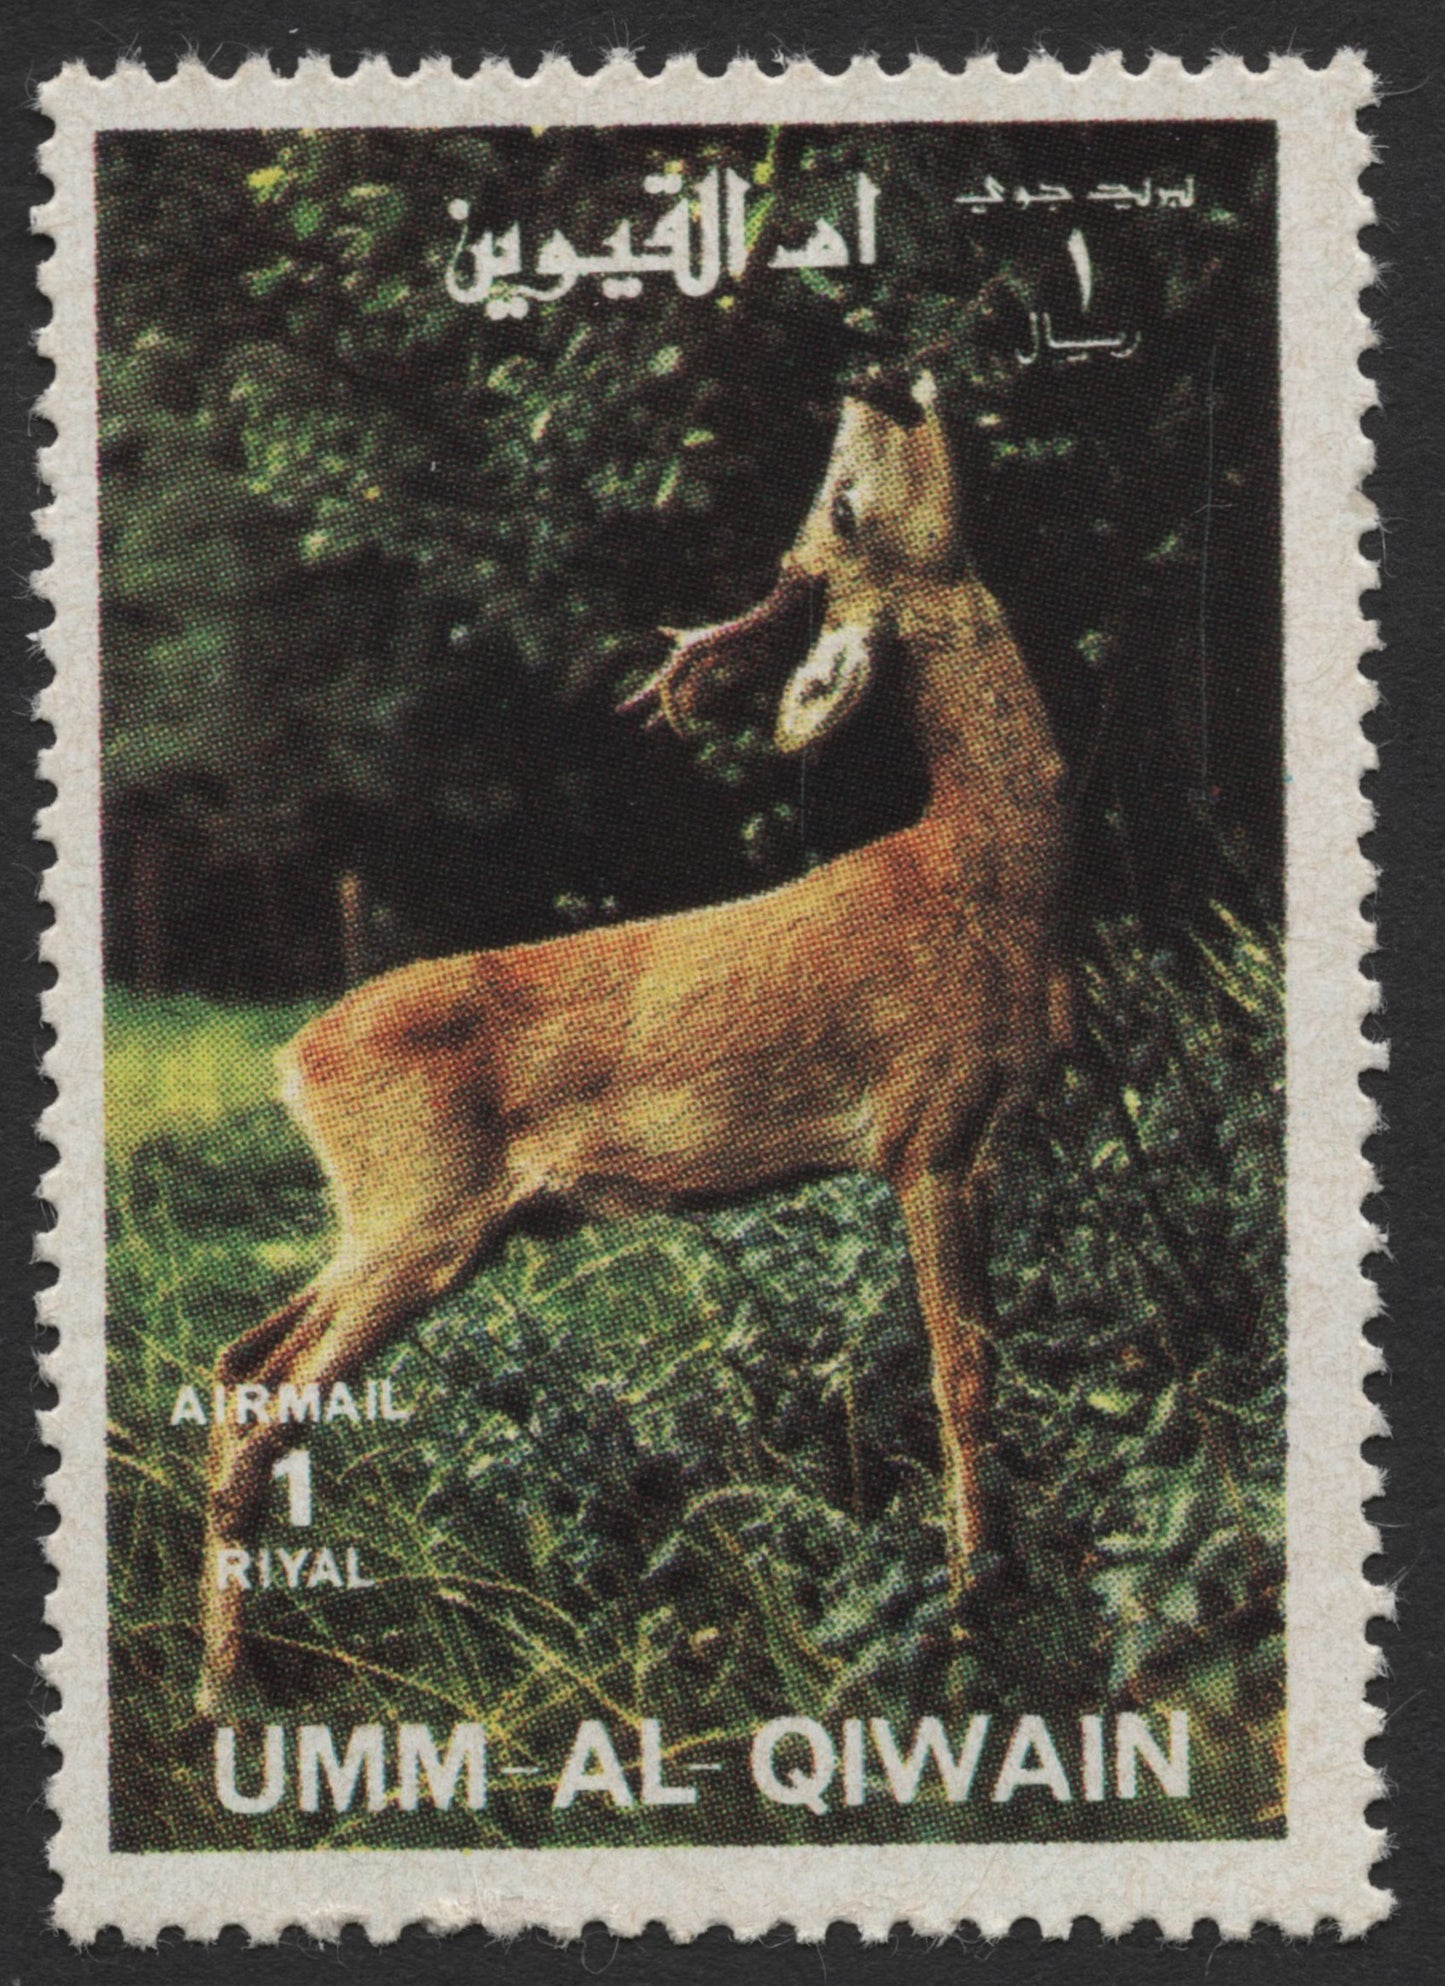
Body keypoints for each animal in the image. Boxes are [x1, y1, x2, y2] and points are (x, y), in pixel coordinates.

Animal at [196, 370, 1072, 1716]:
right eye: (844, 505)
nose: (876, 381)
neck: (985, 873)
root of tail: (294, 1064)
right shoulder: (925, 1128)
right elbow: (958, 1371)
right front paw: (986, 1599)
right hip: (417, 1213)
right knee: (267, 1398)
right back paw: (226, 1693)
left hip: (405, 1223)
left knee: (243, 1359)